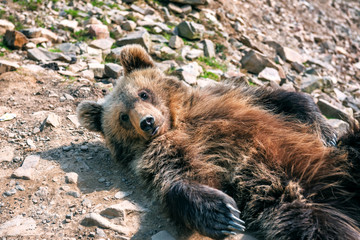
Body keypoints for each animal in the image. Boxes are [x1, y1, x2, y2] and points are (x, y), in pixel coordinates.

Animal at [77, 45, 360, 240]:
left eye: (143, 93)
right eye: (123, 117)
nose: (147, 122)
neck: (178, 121)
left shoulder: (219, 99)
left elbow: (281, 98)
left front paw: (325, 130)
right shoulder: (165, 150)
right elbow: (180, 175)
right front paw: (223, 214)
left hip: (340, 165)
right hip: (297, 208)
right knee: (319, 228)